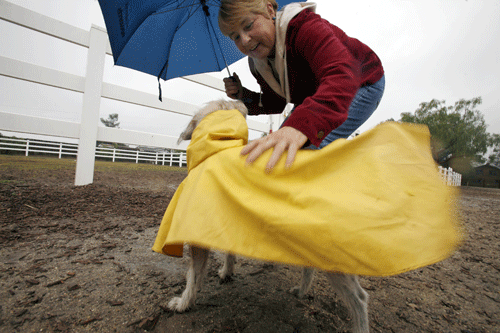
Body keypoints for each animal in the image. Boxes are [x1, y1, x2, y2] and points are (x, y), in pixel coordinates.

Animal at [168, 99, 368, 332]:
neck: (221, 145)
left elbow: (193, 274)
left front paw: (183, 303)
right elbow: (227, 253)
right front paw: (226, 272)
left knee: (359, 298)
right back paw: (300, 292)